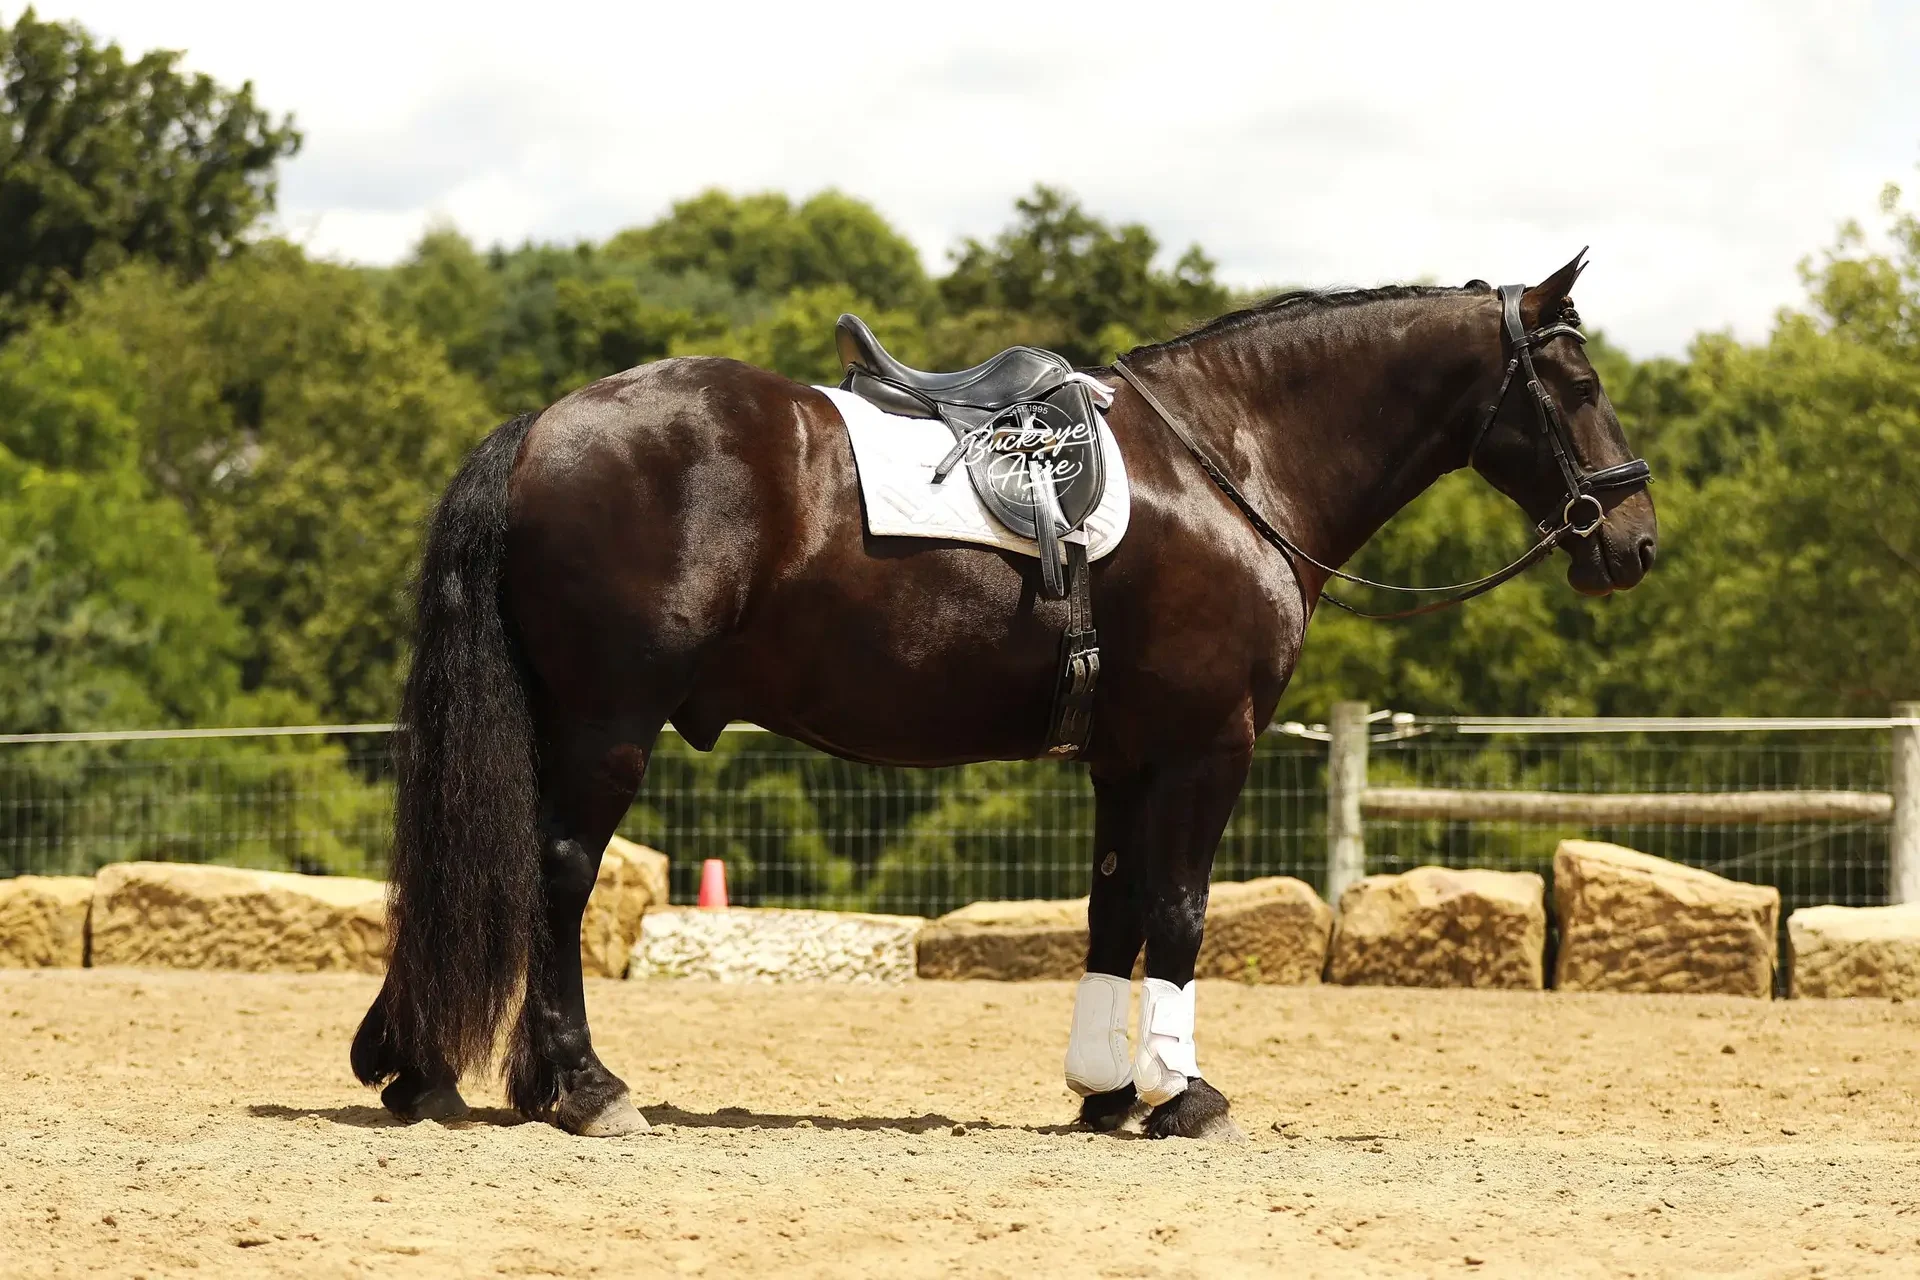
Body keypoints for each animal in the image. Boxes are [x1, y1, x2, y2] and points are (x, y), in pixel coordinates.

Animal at [350, 251, 1657, 1140]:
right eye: (1579, 377)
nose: (1632, 538)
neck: (1227, 464)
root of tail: (542, 428)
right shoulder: (1208, 746)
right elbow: (1181, 911)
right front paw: (1184, 1092)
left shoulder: (1127, 757)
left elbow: (1116, 911)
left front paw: (1106, 1088)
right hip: (608, 725)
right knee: (560, 873)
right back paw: (581, 1084)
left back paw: (427, 1065)